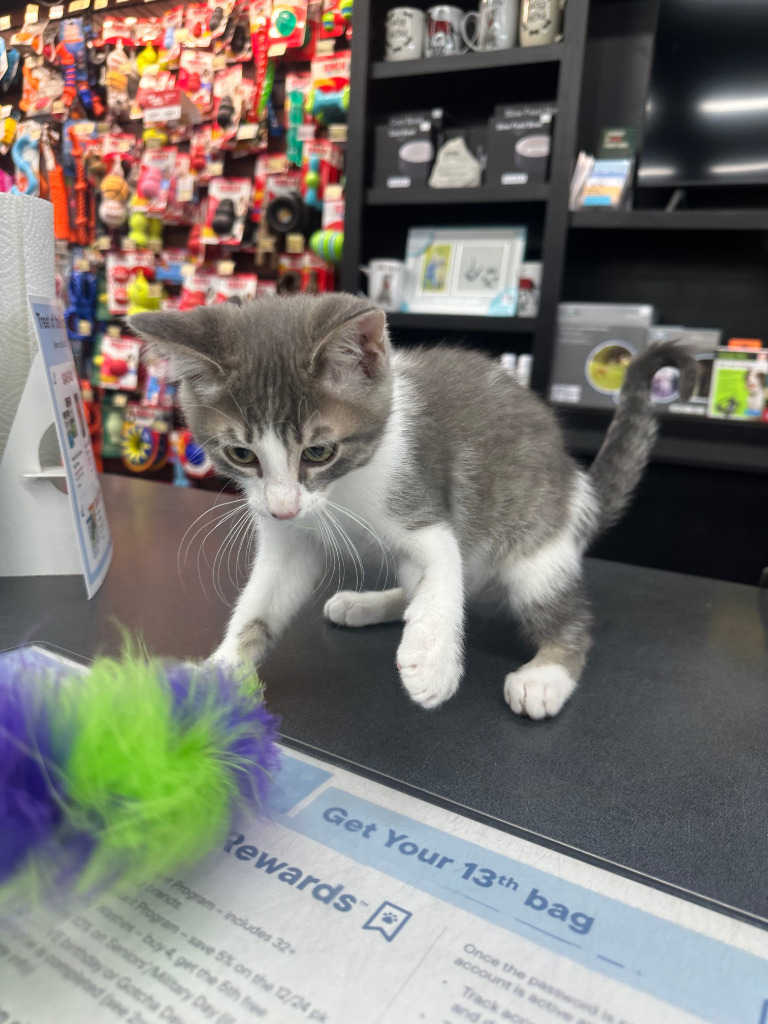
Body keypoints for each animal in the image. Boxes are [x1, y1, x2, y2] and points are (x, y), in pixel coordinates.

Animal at [132, 292, 696, 716]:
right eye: (242, 454)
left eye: (318, 451)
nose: (284, 507)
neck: (341, 490)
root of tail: (578, 487)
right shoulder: (287, 538)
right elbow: (259, 604)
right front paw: (220, 671)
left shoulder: (420, 502)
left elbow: (442, 571)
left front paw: (434, 661)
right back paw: (369, 604)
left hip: (535, 543)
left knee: (562, 610)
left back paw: (549, 672)